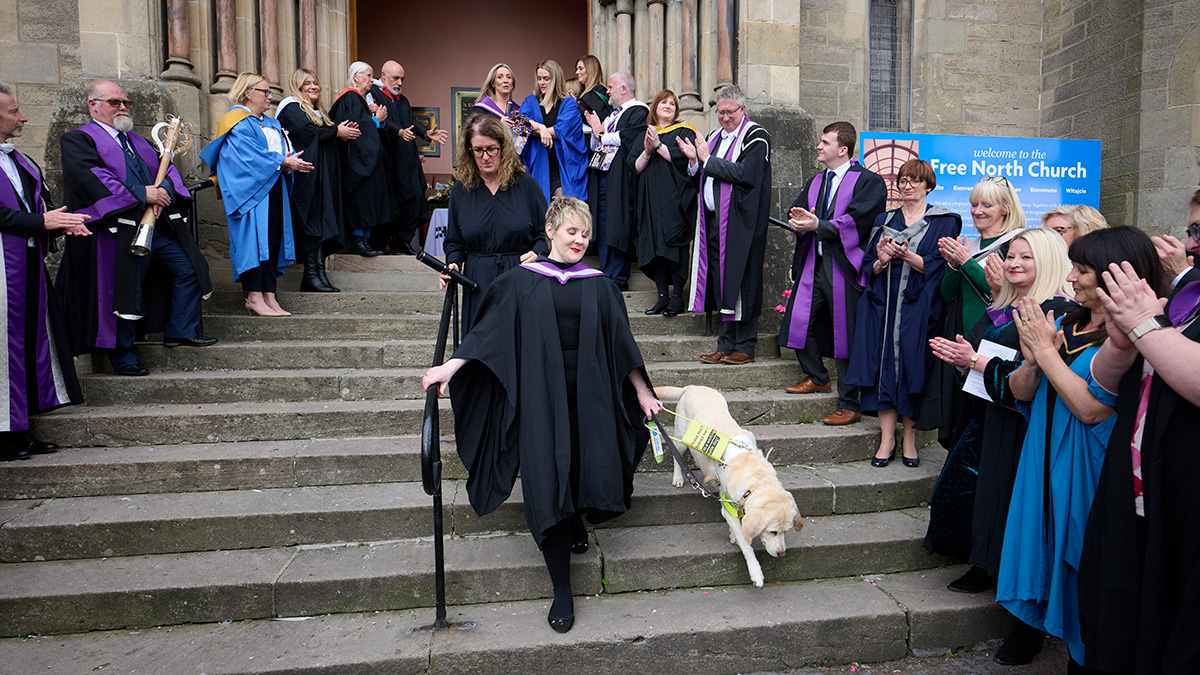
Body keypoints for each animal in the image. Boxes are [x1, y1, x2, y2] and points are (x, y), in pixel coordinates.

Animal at [652, 386, 801, 586]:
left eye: (786, 531)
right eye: (773, 532)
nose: (782, 553)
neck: (755, 479)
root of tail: (692, 386)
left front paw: (733, 535)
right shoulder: (728, 506)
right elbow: (746, 545)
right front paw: (756, 572)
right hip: (683, 437)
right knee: (675, 451)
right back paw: (678, 477)